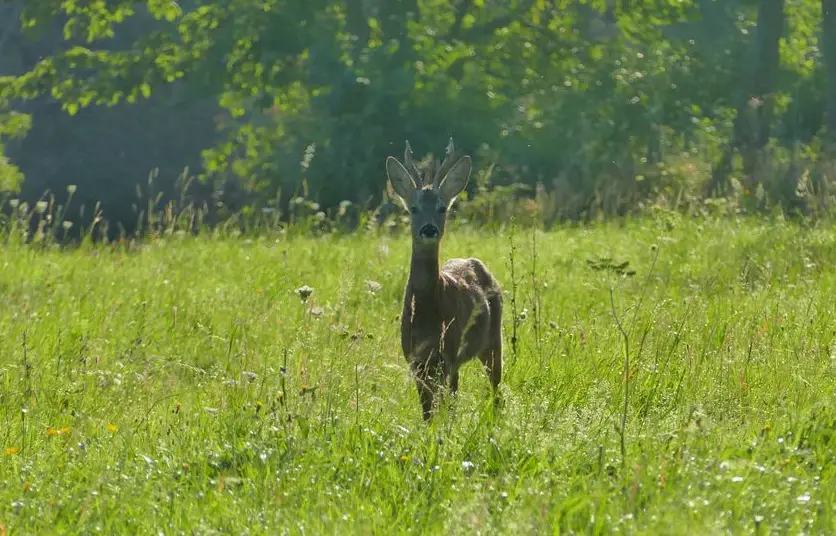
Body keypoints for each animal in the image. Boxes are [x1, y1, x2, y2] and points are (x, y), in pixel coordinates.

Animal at [386, 139, 502, 422]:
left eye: (442, 208)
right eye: (413, 208)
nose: (429, 229)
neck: (427, 312)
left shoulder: (446, 354)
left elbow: (444, 407)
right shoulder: (415, 359)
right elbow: (428, 413)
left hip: (492, 339)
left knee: (495, 387)